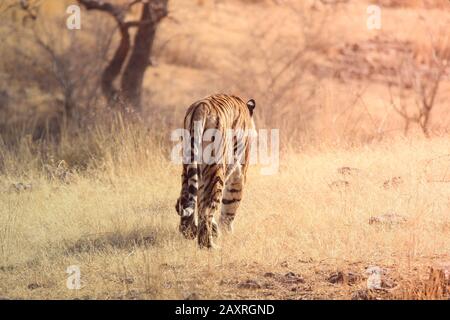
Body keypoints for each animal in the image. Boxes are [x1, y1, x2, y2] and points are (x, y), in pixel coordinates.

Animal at [176, 94, 255, 249]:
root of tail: (200, 107)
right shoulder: (239, 172)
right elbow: (231, 204)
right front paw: (226, 232)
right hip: (216, 170)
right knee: (207, 209)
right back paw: (211, 247)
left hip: (188, 166)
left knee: (186, 199)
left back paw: (190, 231)